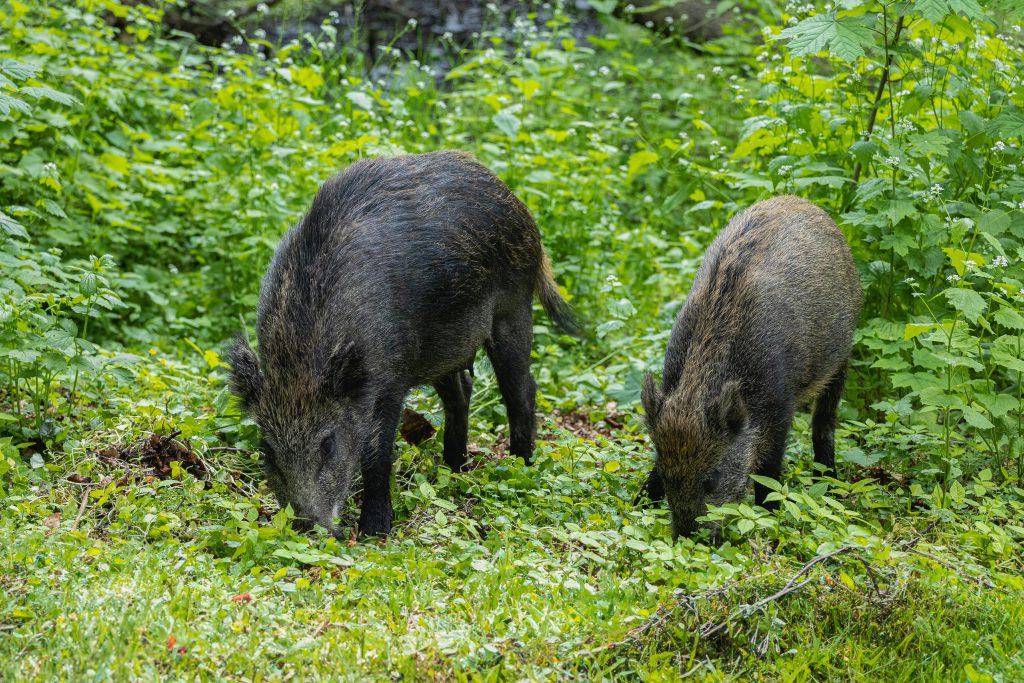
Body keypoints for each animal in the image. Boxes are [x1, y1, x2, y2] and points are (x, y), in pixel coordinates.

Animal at [229, 151, 579, 537]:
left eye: (328, 444)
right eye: (266, 449)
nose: (308, 528)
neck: (303, 355)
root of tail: (516, 203)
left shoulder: (390, 379)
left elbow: (377, 452)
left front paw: (375, 531)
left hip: (513, 310)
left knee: (522, 390)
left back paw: (520, 466)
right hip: (443, 348)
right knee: (462, 392)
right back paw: (453, 468)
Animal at [638, 196, 861, 540]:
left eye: (712, 478)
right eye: (666, 473)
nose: (687, 539)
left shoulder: (780, 408)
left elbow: (768, 470)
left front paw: (770, 518)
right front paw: (640, 504)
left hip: (840, 359)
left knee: (824, 424)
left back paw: (828, 483)